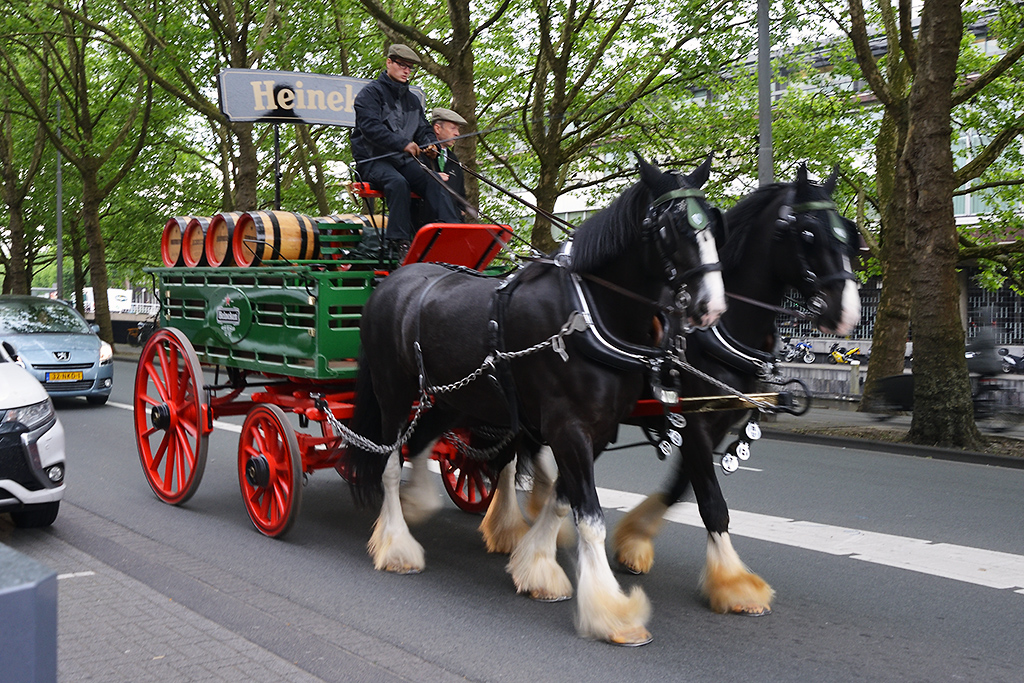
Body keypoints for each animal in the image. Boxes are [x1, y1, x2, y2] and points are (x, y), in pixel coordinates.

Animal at [350, 156, 729, 647]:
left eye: (714, 225)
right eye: (672, 227)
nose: (711, 307)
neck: (586, 313)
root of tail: (392, 280)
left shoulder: (597, 430)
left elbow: (564, 500)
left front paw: (537, 568)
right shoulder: (569, 428)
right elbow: (590, 515)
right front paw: (612, 612)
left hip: (449, 400)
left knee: (419, 448)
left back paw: (418, 507)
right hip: (395, 395)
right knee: (391, 464)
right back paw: (397, 545)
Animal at [606, 163, 864, 614]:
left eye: (848, 234)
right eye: (808, 234)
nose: (848, 312)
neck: (715, 331)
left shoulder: (716, 421)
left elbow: (680, 489)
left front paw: (633, 541)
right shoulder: (693, 423)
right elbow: (711, 501)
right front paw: (734, 584)